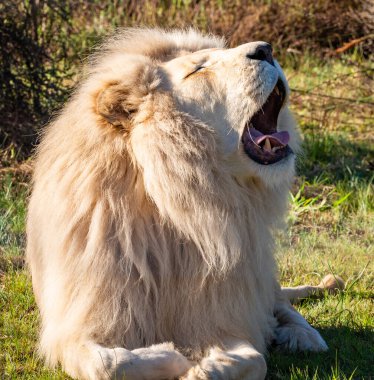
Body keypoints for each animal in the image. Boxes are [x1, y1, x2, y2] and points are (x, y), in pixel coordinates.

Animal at [25, 28, 342, 378]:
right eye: (198, 69)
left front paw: (200, 367)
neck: (180, 206)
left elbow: (254, 359)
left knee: (281, 305)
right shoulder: (76, 327)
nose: (266, 49)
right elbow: (112, 364)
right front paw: (175, 355)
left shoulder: (222, 315)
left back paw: (302, 334)